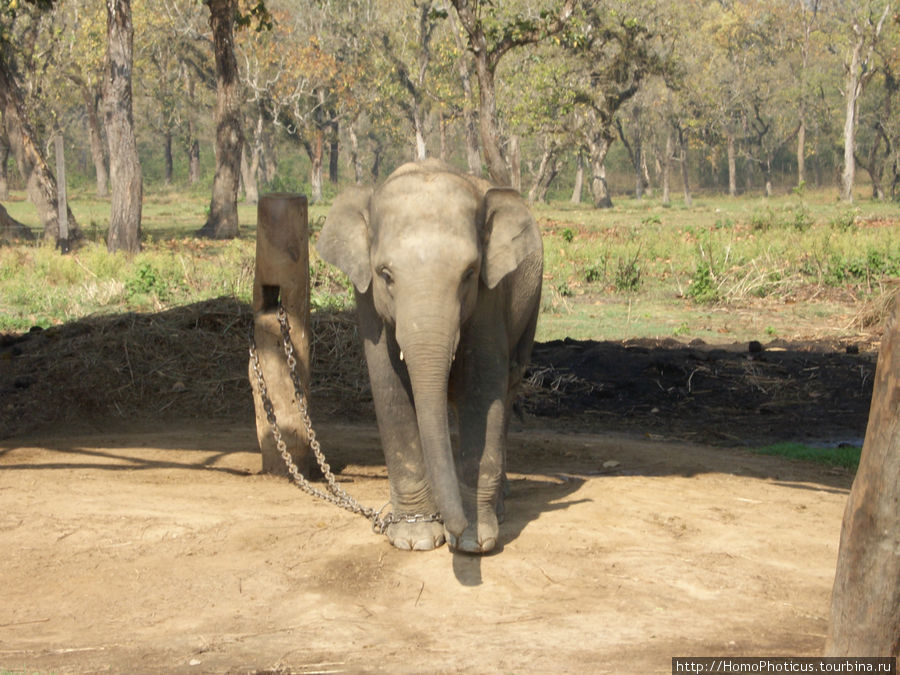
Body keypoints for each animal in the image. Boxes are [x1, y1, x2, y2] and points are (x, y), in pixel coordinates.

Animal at [316, 160, 540, 556]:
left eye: (469, 274)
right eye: (385, 275)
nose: (454, 528)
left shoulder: (491, 294)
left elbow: (481, 386)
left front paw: (474, 541)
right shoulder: (367, 298)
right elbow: (388, 383)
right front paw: (416, 539)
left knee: (511, 381)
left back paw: (499, 503)